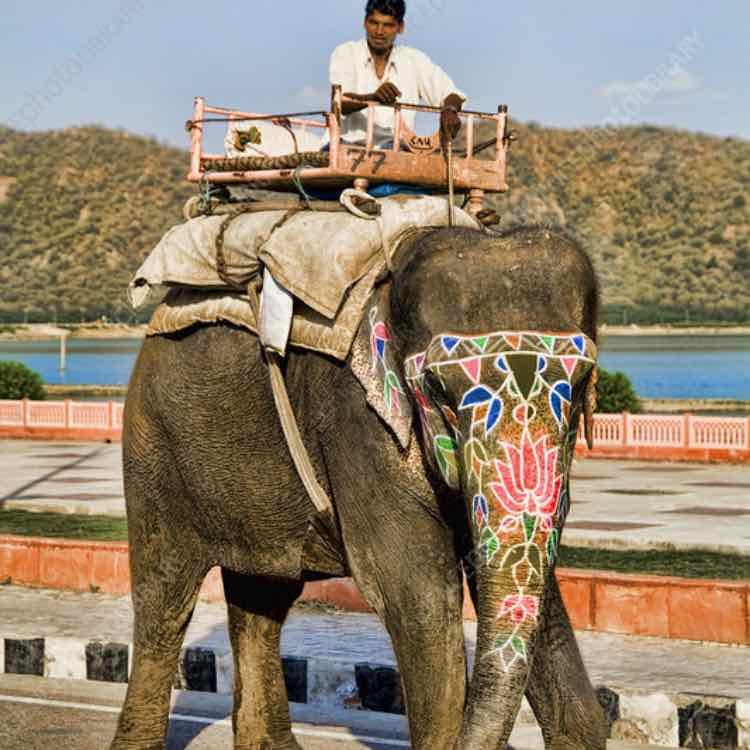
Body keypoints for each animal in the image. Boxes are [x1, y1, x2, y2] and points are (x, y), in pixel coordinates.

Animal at [111, 224, 608, 750]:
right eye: (439, 394)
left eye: (579, 389)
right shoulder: (358, 423)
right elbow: (420, 599)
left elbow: (537, 591)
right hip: (153, 446)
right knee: (165, 597)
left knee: (263, 599)